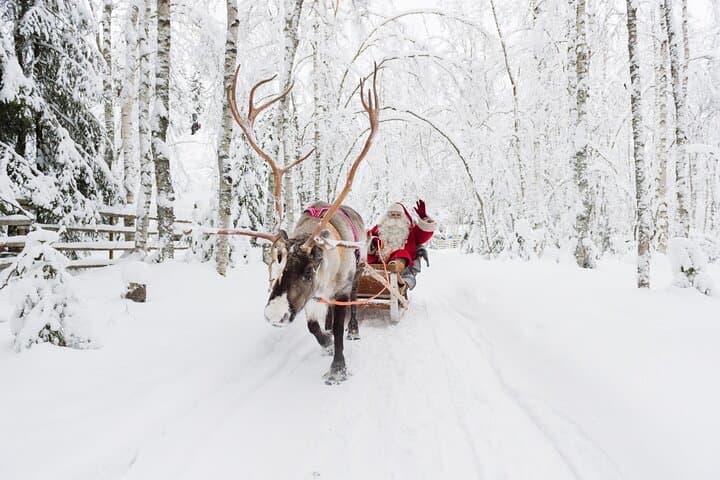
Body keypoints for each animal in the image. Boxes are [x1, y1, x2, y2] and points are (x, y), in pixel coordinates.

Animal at [223, 64, 380, 384]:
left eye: (308, 271)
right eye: (275, 266)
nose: (274, 316)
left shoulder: (338, 287)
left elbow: (341, 323)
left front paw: (337, 368)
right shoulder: (312, 298)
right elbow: (313, 327)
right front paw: (326, 341)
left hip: (359, 269)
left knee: (354, 303)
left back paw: (353, 329)